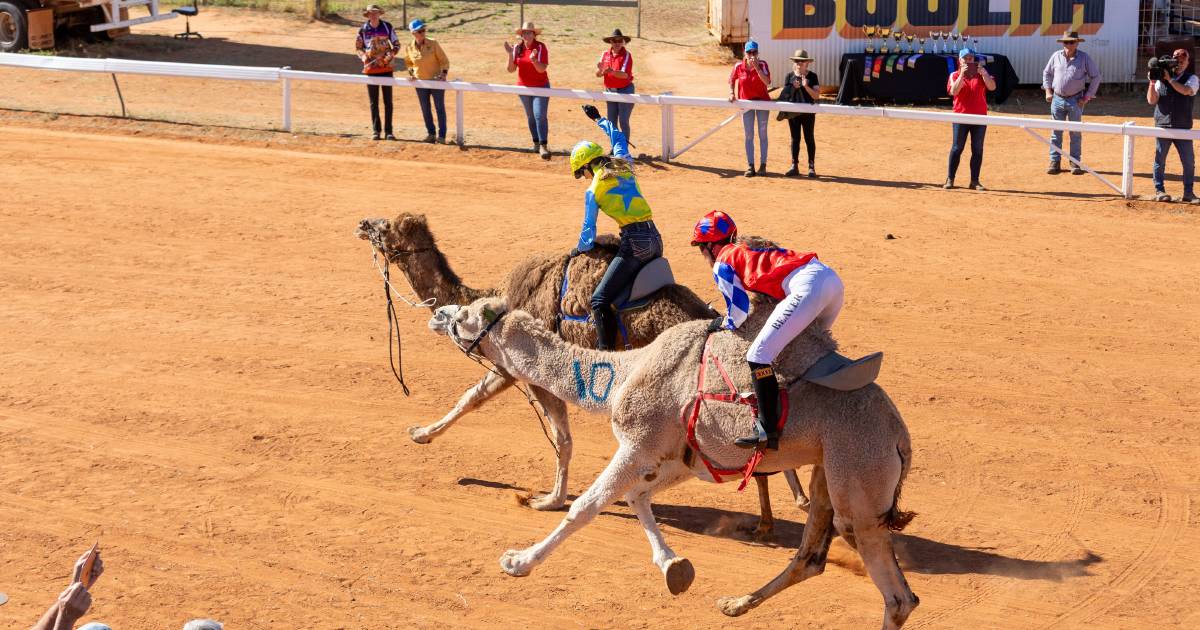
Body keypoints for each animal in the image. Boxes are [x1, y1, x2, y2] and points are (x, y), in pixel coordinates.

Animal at [355, 210, 806, 525]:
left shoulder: (523, 369)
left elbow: (542, 429)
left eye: (388, 227)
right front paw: (422, 434)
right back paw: (777, 511)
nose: (362, 223)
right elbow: (478, 401)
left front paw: (548, 499)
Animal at [432, 297, 916, 624]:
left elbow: (586, 505)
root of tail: (901, 437)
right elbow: (635, 497)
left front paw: (518, 561)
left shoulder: (638, 441)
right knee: (812, 556)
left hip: (859, 469)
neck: (621, 373)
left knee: (897, 595)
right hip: (827, 468)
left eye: (468, 314)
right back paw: (736, 603)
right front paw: (674, 568)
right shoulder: (685, 457)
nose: (438, 314)